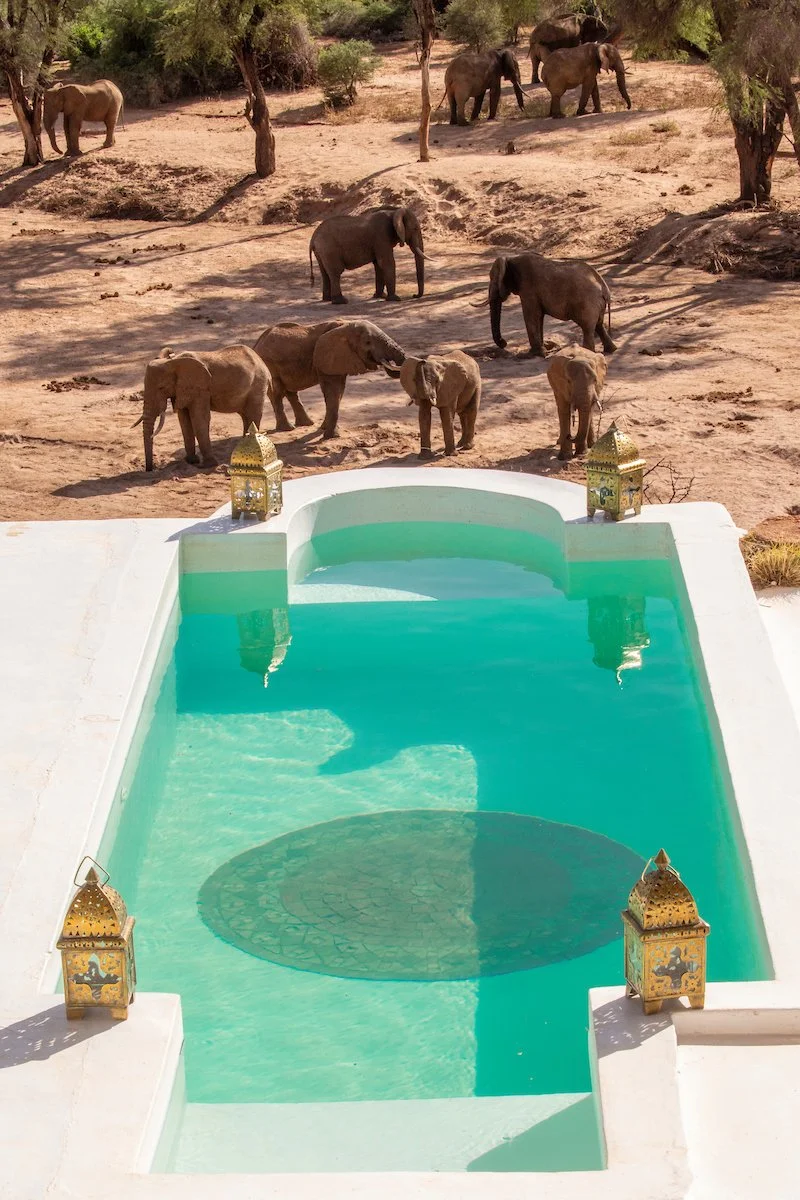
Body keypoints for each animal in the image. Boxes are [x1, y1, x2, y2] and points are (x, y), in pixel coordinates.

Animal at [135, 345, 270, 472]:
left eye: (161, 388)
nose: (150, 469)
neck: (173, 362)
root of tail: (260, 360)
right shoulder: (182, 389)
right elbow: (184, 421)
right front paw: (191, 461)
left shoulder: (200, 388)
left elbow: (199, 419)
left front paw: (207, 465)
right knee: (246, 416)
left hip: (258, 385)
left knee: (253, 415)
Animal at [253, 319, 405, 439]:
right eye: (368, 342)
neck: (345, 325)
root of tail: (257, 343)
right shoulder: (327, 359)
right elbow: (333, 390)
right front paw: (331, 436)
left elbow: (339, 392)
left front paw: (324, 429)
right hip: (269, 364)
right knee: (278, 393)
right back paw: (288, 428)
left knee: (290, 392)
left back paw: (306, 424)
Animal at [486, 252, 616, 356]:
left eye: (493, 280)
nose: (504, 343)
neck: (511, 259)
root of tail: (604, 287)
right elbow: (538, 317)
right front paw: (542, 351)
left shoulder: (528, 289)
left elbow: (531, 316)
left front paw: (532, 355)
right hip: (596, 304)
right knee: (598, 325)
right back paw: (610, 350)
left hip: (588, 303)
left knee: (588, 327)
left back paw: (587, 352)